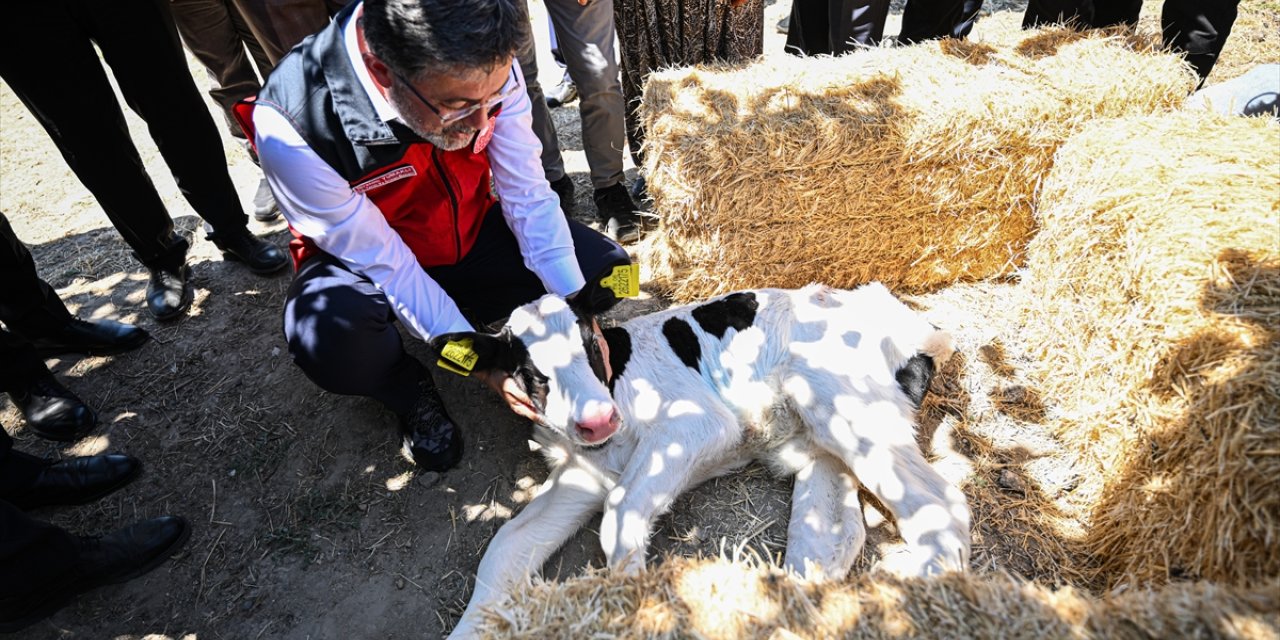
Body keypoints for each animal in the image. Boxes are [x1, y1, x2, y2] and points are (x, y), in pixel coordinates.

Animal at [430, 282, 967, 637]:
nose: (598, 421)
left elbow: (620, 513)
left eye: (589, 344)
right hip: (820, 440)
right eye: (528, 369)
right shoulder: (584, 472)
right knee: (832, 535)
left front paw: (634, 607)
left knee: (939, 502)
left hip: (845, 405)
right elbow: (506, 546)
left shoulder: (698, 424)